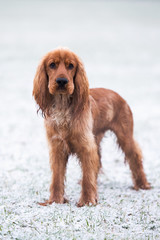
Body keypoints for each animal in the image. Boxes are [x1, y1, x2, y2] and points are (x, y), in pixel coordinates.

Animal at [32, 47, 150, 206]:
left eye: (71, 66)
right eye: (52, 65)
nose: (62, 81)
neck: (63, 108)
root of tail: (118, 95)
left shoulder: (86, 146)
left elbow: (87, 176)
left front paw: (87, 200)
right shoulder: (57, 147)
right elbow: (57, 177)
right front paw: (55, 200)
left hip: (125, 136)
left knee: (135, 155)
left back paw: (142, 184)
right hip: (97, 138)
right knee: (98, 162)